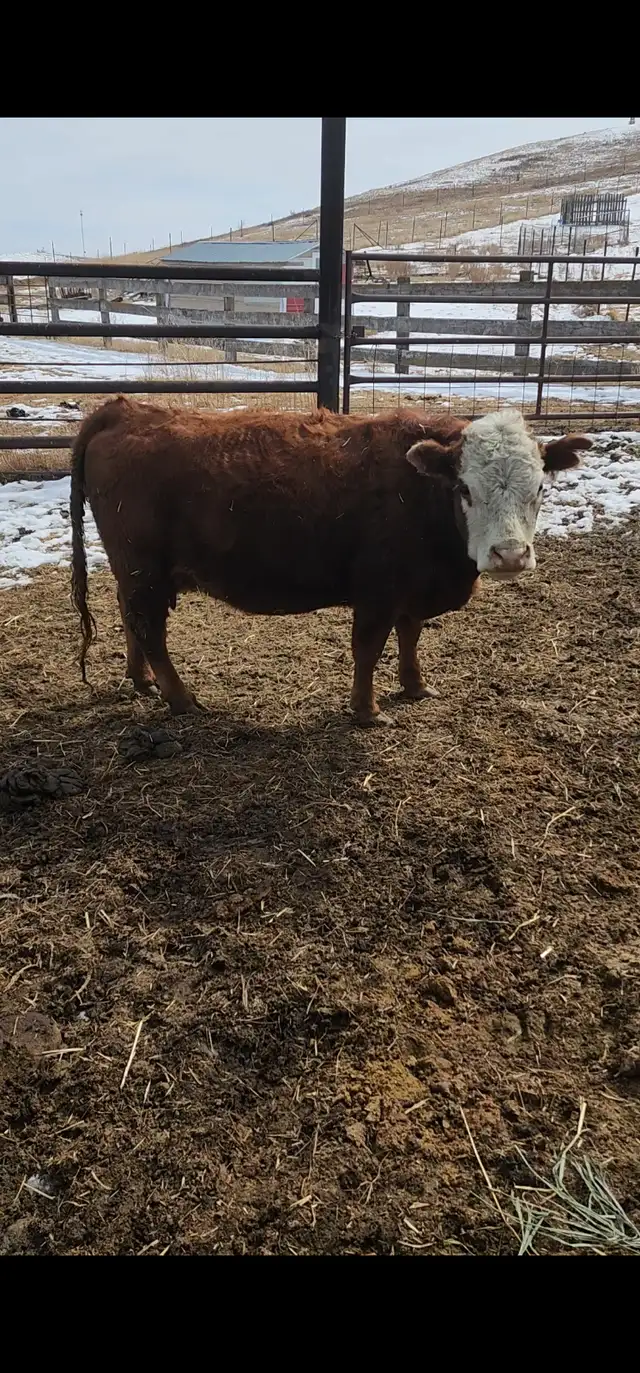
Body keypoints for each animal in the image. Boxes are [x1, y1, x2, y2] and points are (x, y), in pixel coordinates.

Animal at [69, 399, 591, 724]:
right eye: (465, 488)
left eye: (540, 487)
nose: (510, 555)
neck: (419, 493)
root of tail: (124, 409)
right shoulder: (377, 592)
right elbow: (368, 649)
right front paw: (367, 710)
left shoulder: (411, 589)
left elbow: (410, 637)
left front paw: (415, 686)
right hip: (144, 571)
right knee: (149, 629)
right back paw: (181, 699)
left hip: (134, 574)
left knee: (129, 618)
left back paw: (142, 680)